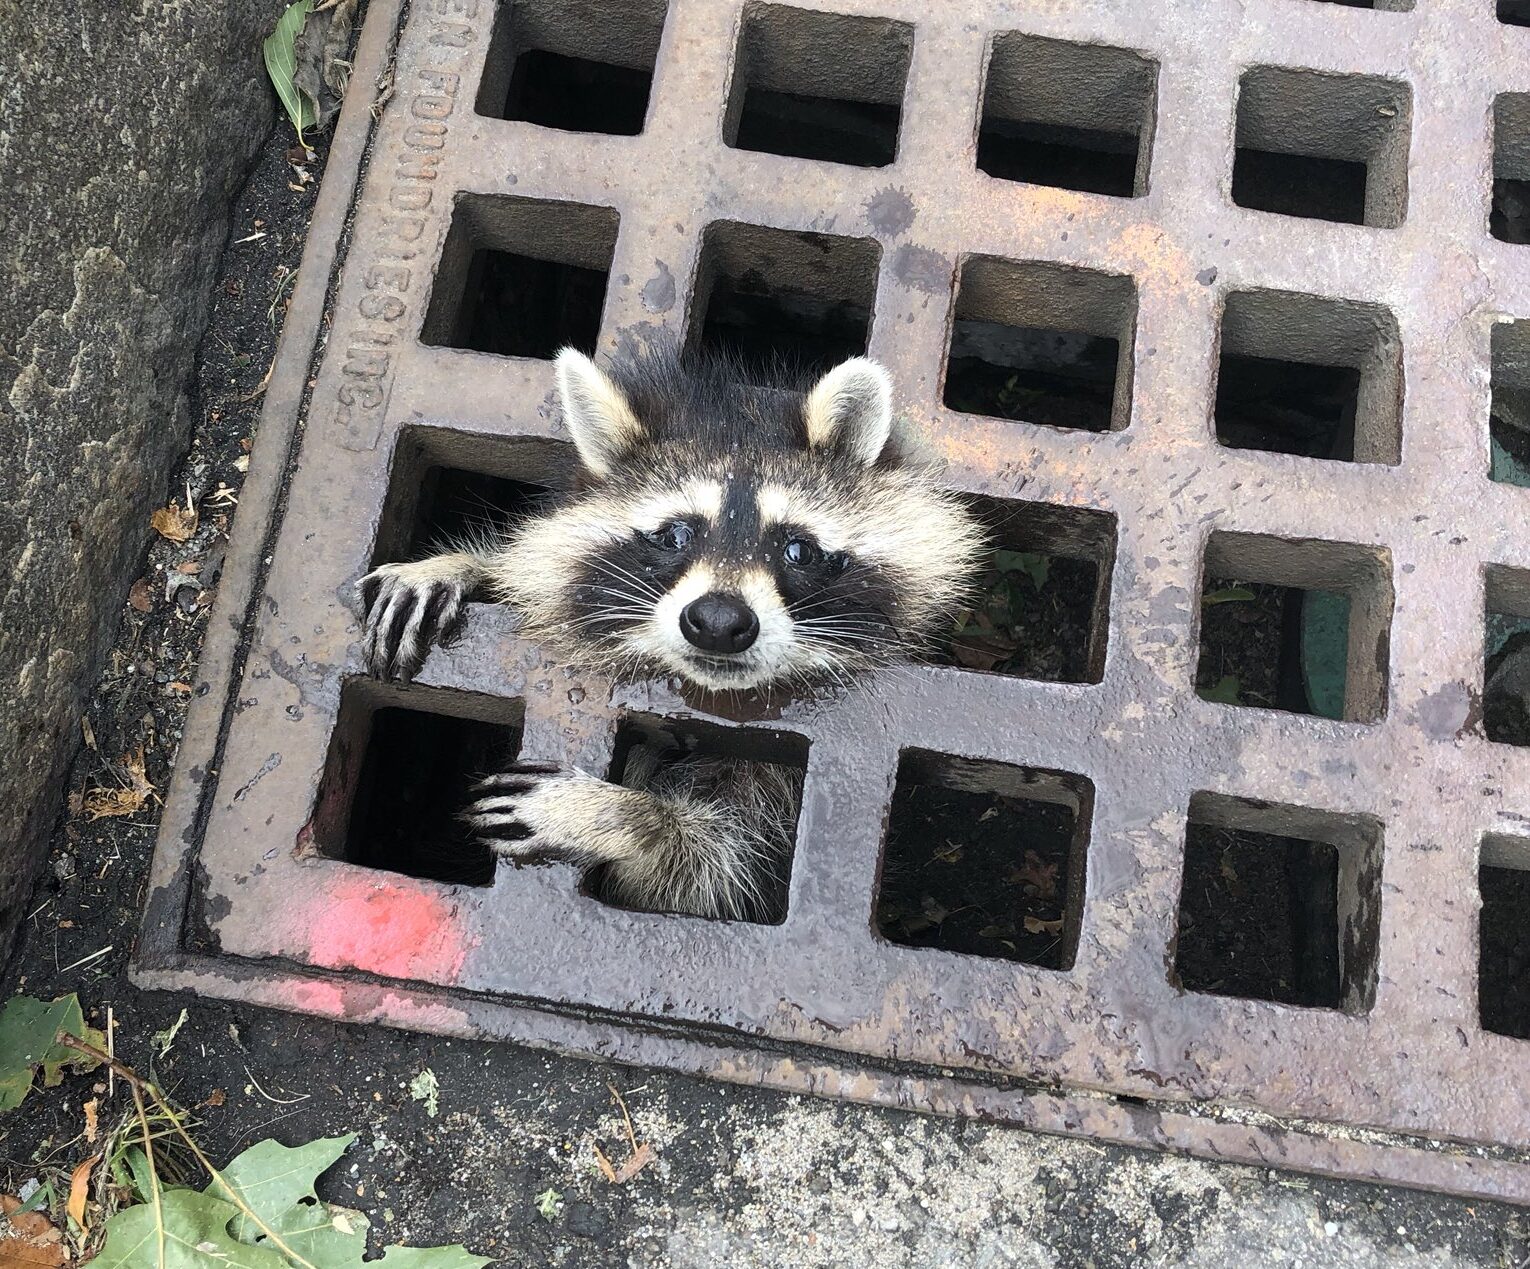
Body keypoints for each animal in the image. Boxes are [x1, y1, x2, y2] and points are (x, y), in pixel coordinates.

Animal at [356, 345, 979, 918]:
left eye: (798, 548)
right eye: (676, 535)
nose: (719, 623)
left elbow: (713, 871)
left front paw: (626, 817)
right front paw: (463, 566)